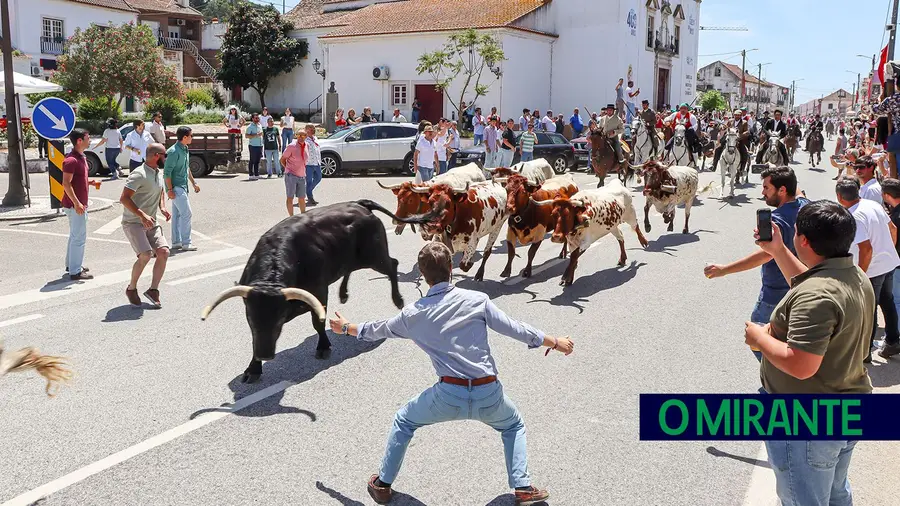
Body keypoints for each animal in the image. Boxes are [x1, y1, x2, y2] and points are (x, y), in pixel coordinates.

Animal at [200, 200, 436, 382]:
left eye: (279, 320)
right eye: (250, 318)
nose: (265, 355)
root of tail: (359, 203)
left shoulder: (319, 293)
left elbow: (318, 322)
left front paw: (323, 347)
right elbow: (254, 339)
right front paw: (252, 369)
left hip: (374, 255)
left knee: (392, 265)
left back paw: (397, 300)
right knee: (351, 268)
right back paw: (344, 294)